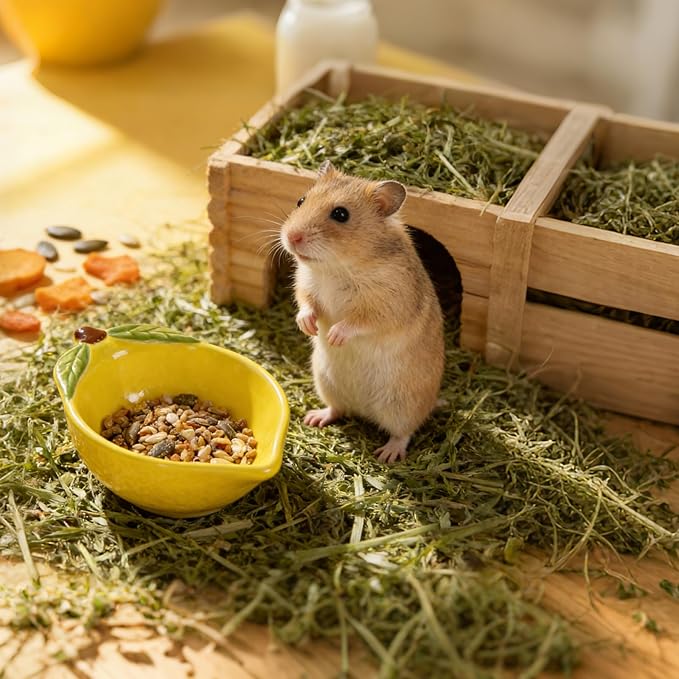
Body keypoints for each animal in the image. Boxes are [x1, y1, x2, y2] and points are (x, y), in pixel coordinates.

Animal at [280, 161, 444, 463]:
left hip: (402, 405)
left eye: (340, 214)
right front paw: (310, 327)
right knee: (338, 410)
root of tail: (365, 411)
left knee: (404, 432)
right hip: (326, 383)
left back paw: (387, 455)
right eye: (300, 201)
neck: (337, 266)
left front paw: (333, 337)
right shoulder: (306, 285)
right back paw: (314, 418)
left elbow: (357, 322)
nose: (291, 237)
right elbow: (306, 305)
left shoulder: (386, 306)